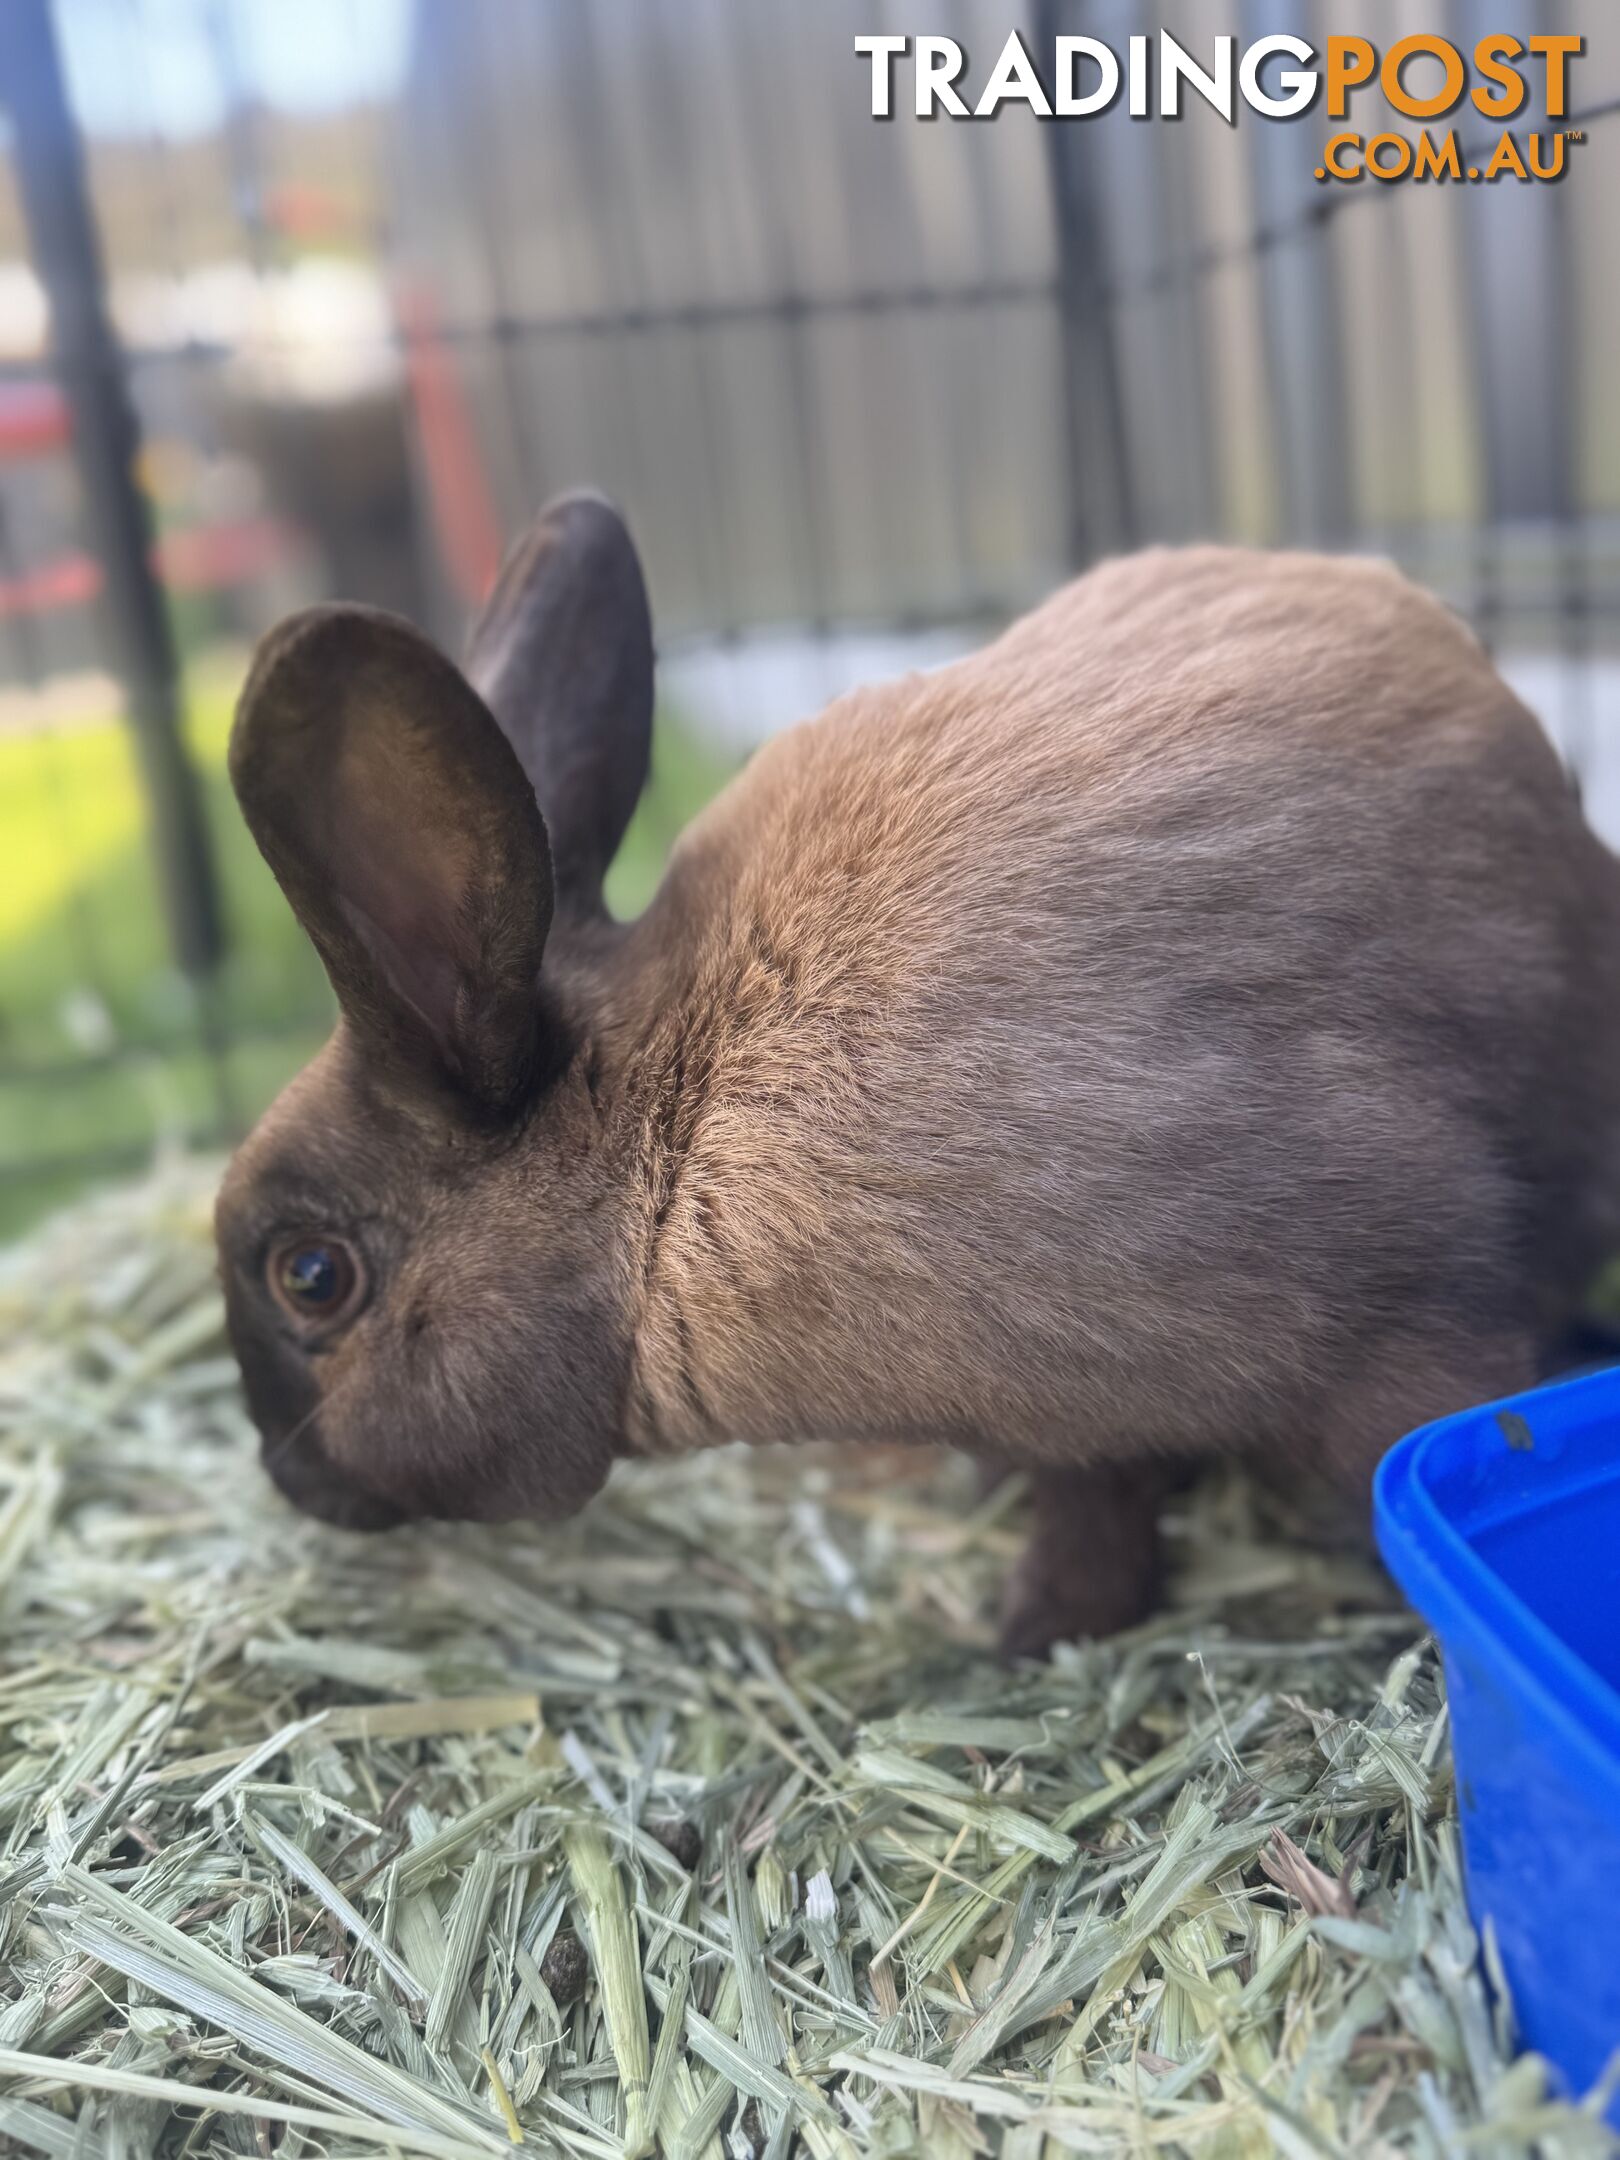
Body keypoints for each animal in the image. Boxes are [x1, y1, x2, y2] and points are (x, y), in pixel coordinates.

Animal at [216, 496, 1620, 1658]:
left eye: (310, 1277)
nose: (290, 1484)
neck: (667, 1164)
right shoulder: (1071, 1420)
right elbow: (1095, 1508)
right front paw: (1039, 1631)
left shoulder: (1385, 1313)